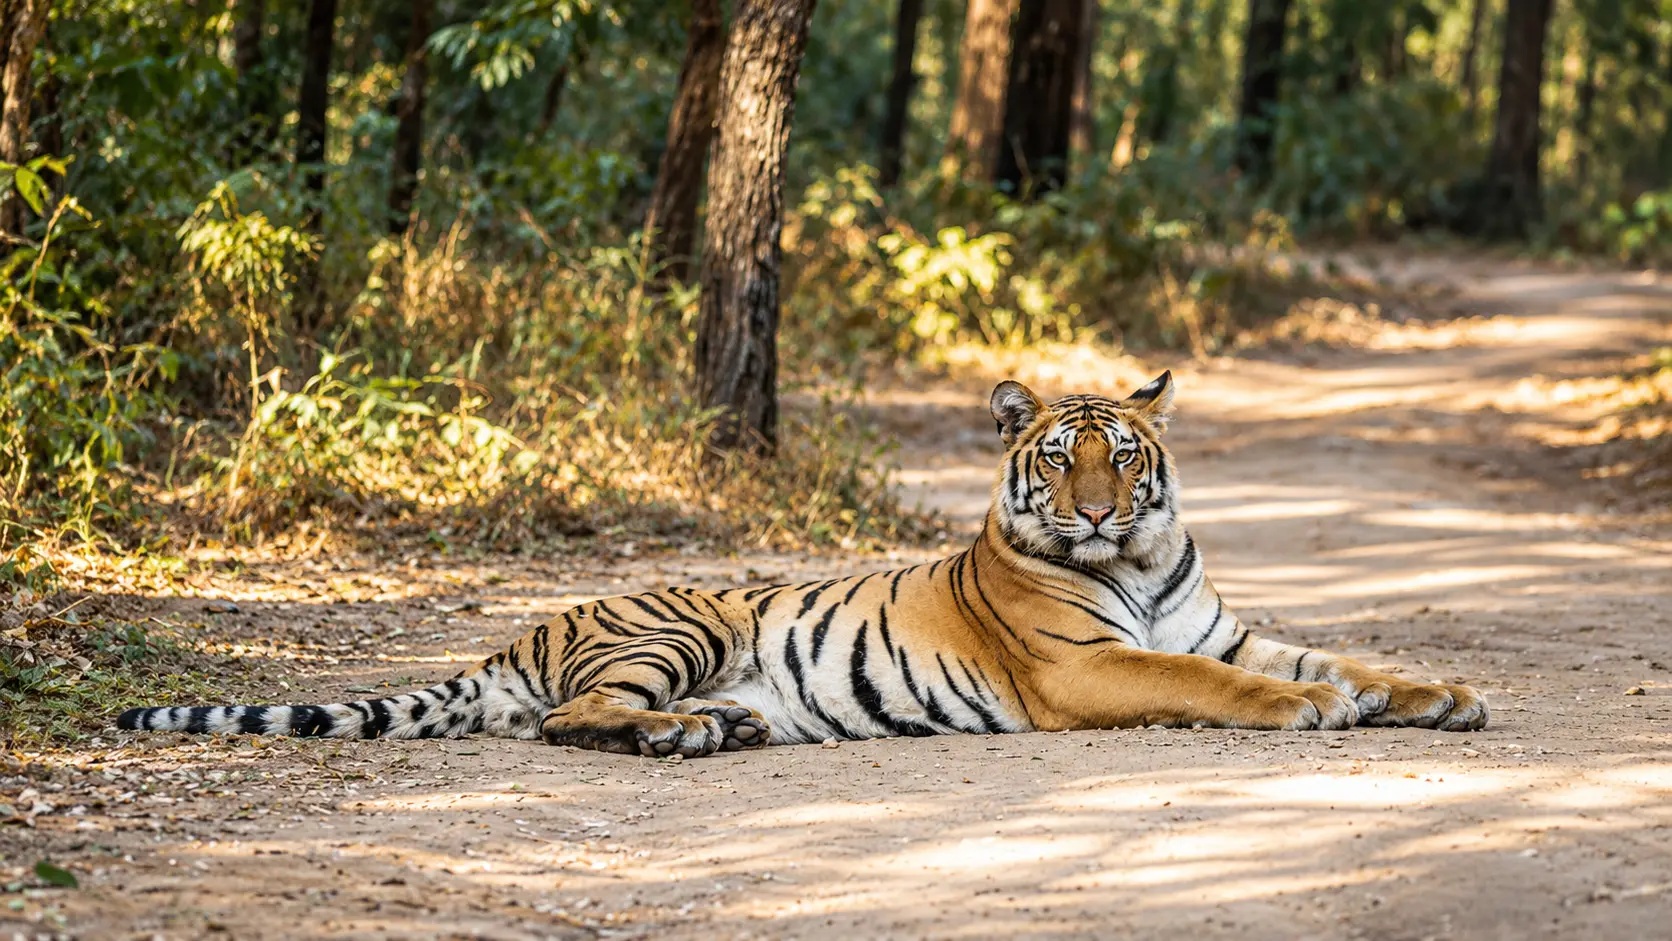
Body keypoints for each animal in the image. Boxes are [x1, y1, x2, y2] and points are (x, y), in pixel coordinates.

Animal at [118, 372, 1488, 756]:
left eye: (1123, 455)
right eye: (1059, 460)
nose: (1098, 514)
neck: (1142, 564)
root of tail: (519, 632)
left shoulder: (1214, 624)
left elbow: (1338, 651)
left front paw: (1435, 690)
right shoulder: (1090, 667)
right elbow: (1230, 686)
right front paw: (1316, 708)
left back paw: (724, 727)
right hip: (672, 624)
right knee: (568, 718)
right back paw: (678, 735)